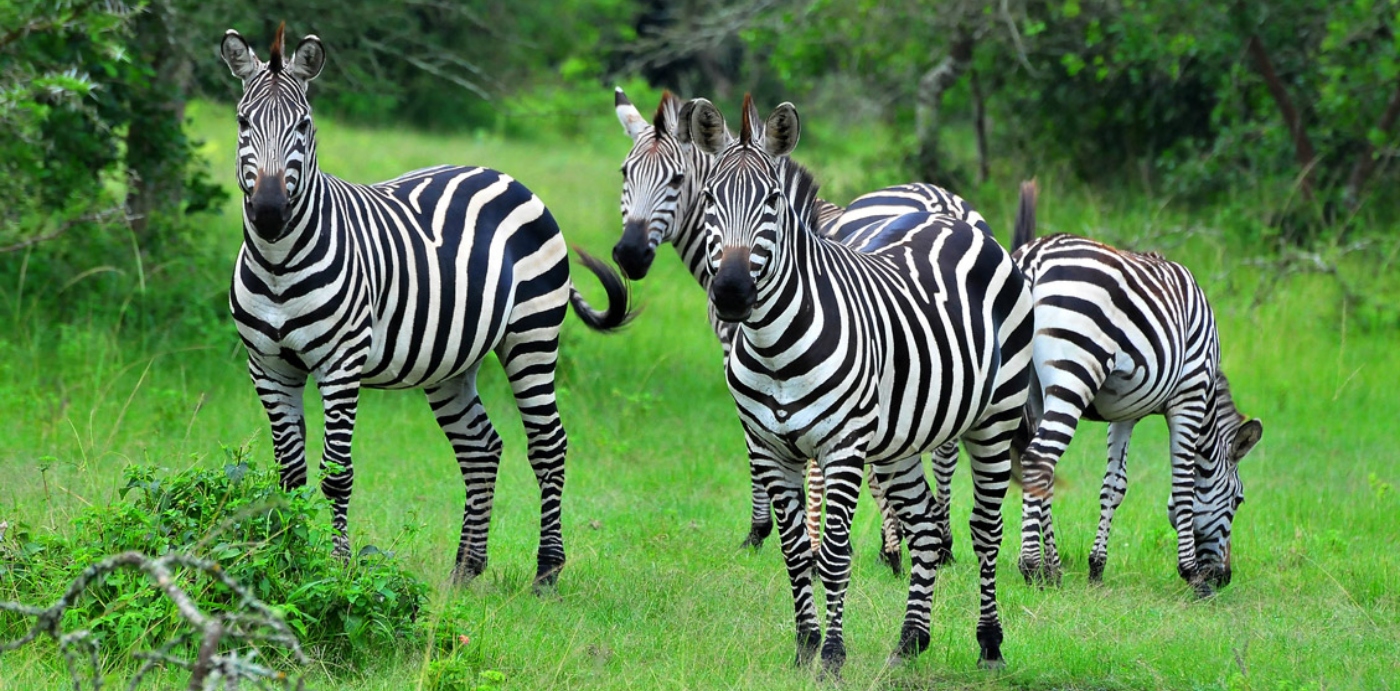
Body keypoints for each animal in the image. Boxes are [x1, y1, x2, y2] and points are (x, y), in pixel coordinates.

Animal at [219, 26, 635, 587]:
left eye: (304, 125)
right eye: (243, 122)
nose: (267, 212)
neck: (278, 263)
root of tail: (505, 176)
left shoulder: (340, 365)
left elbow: (336, 474)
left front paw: (337, 569)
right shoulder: (267, 367)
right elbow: (289, 475)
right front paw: (285, 560)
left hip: (531, 336)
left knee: (548, 445)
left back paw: (547, 570)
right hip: (452, 362)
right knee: (482, 448)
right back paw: (466, 567)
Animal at [613, 87, 985, 573]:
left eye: (676, 180)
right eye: (625, 173)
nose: (629, 255)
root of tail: (942, 203)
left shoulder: (748, 353)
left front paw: (763, 531)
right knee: (945, 445)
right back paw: (941, 542)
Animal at [691, 94, 1036, 671]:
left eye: (773, 202)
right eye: (711, 198)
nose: (732, 293)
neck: (773, 347)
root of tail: (960, 223)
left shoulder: (843, 447)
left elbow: (832, 554)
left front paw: (832, 655)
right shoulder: (770, 449)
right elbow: (794, 553)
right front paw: (805, 647)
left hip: (994, 420)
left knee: (986, 531)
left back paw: (990, 644)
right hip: (901, 442)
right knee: (924, 527)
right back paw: (910, 641)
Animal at [1013, 184, 1265, 593]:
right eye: (1239, 500)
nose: (1224, 577)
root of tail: (1034, 258)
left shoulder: (1124, 412)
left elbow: (1114, 486)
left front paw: (1096, 567)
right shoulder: (1189, 395)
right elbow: (1183, 485)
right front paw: (1191, 574)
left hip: (1031, 389)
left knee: (1036, 463)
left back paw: (1052, 569)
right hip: (1075, 372)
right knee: (1039, 459)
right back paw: (1033, 567)